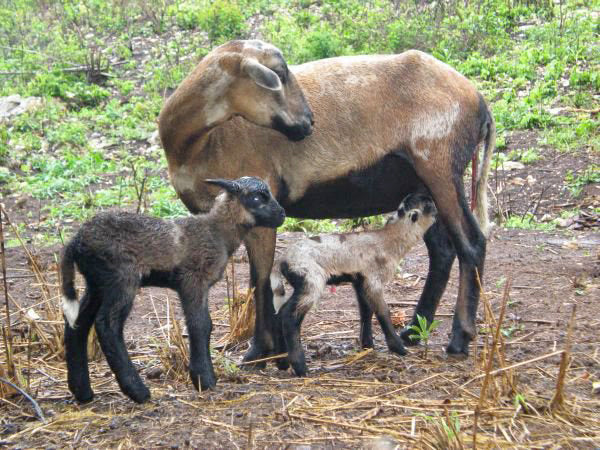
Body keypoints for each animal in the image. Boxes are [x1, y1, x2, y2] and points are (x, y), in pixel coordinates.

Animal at [157, 40, 494, 368]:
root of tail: (479, 101)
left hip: (440, 168)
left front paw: (259, 353)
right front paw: (275, 352)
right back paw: (412, 332)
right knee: (443, 250)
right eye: (280, 73)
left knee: (471, 243)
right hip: (423, 185)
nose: (309, 123)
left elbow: (260, 279)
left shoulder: (263, 210)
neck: (197, 144)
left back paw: (459, 339)